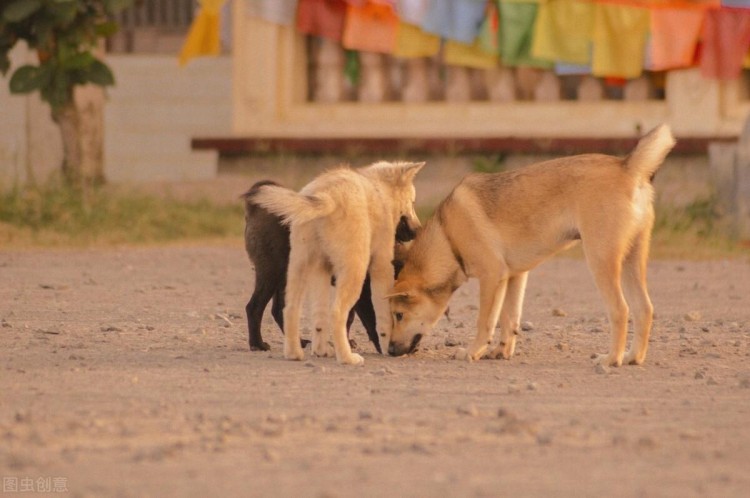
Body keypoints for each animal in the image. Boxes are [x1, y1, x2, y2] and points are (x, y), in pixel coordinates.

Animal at [253, 161, 426, 364]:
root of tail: (326, 196)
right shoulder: (382, 266)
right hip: (354, 269)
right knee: (336, 313)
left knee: (291, 309)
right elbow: (383, 317)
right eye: (412, 202)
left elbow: (319, 317)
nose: (418, 231)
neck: (379, 191)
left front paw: (320, 350)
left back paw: (297, 353)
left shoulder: (322, 269)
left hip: (299, 265)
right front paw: (387, 347)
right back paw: (347, 357)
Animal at [388, 124, 676, 366]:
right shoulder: (514, 277)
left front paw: (472, 351)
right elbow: (509, 319)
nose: (389, 350)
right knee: (644, 309)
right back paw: (632, 357)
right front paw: (501, 351)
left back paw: (611, 359)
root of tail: (627, 166)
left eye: (399, 315)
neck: (448, 236)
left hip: (601, 261)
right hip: (631, 260)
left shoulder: (492, 277)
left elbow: (485, 322)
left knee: (620, 310)